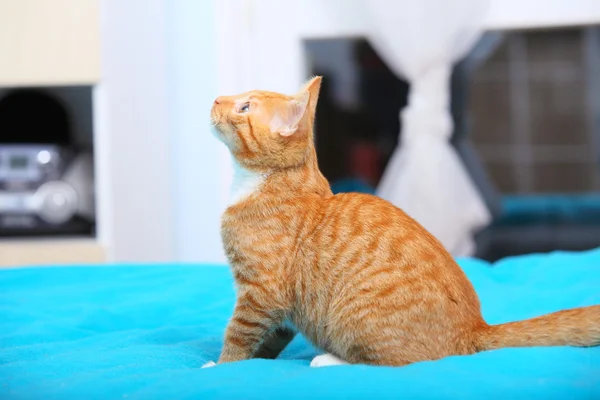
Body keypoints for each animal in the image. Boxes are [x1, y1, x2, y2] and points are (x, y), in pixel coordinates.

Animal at [206, 76, 600, 368]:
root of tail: (473, 328)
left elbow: (238, 334)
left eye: (244, 106)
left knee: (396, 363)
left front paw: (220, 366)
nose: (215, 98)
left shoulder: (261, 292)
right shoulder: (280, 309)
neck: (260, 183)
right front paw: (253, 362)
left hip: (356, 319)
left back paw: (330, 360)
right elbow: (269, 338)